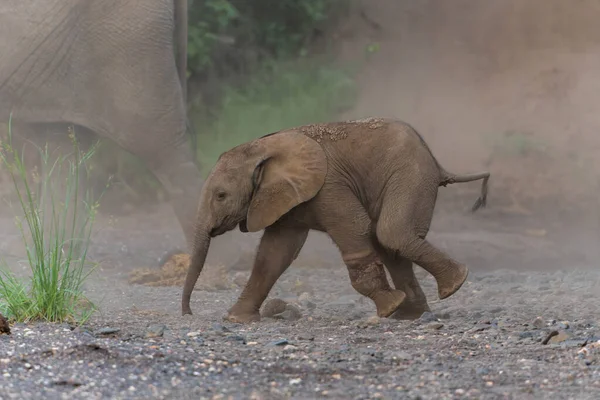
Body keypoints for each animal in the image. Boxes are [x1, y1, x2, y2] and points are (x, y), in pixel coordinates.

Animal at [180, 118, 490, 322]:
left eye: (221, 195)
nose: (188, 313)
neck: (261, 148)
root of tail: (436, 161)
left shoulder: (328, 185)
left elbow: (356, 227)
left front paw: (388, 307)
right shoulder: (285, 198)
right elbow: (275, 253)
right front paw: (235, 319)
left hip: (410, 173)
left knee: (391, 233)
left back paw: (451, 286)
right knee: (389, 242)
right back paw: (411, 314)